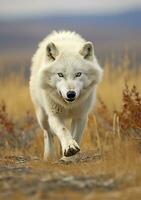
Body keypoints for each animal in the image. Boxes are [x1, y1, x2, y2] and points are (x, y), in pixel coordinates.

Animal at [29, 30, 102, 160]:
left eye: (78, 74)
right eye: (60, 74)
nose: (71, 94)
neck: (68, 106)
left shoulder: (81, 116)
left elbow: (75, 136)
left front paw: (68, 157)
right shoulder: (54, 115)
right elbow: (63, 130)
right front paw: (69, 147)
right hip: (42, 116)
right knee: (47, 133)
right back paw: (49, 156)